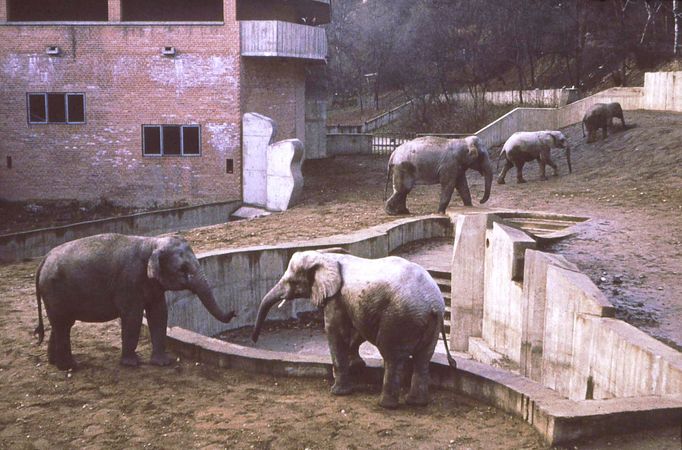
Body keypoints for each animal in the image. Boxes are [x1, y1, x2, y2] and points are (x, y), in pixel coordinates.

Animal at [34, 232, 236, 370]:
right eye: (183, 269)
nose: (234, 312)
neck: (152, 243)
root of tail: (43, 260)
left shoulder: (152, 284)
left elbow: (159, 313)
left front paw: (163, 363)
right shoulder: (129, 281)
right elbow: (133, 316)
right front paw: (132, 364)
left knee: (62, 324)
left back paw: (55, 363)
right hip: (55, 291)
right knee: (62, 324)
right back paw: (70, 367)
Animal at [251, 248, 456, 410]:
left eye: (291, 281)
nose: (254, 340)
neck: (326, 256)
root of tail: (435, 305)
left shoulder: (335, 298)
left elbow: (335, 331)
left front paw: (338, 392)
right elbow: (357, 329)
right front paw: (357, 368)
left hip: (400, 318)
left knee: (392, 356)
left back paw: (386, 405)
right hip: (427, 324)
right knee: (423, 358)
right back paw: (416, 403)